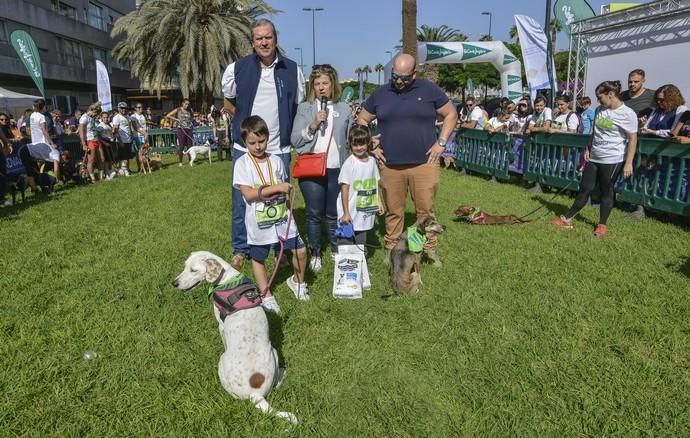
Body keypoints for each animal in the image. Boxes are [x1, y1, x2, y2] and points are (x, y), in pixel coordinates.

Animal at [171, 252, 296, 426]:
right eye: (185, 266)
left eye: (193, 270)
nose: (174, 283)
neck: (226, 278)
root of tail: (255, 395)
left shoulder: (221, 325)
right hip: (275, 351)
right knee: (276, 382)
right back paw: (283, 373)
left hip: (222, 361)